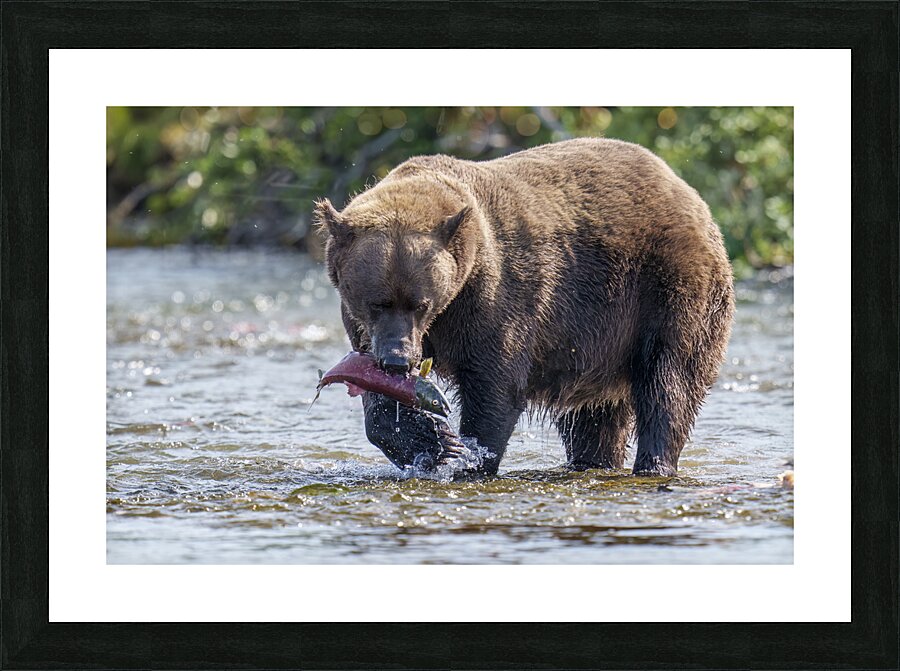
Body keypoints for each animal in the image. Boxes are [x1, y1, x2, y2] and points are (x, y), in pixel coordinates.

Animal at [314, 137, 734, 477]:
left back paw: (654, 464)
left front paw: (467, 455)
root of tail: (689, 193)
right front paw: (432, 443)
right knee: (594, 418)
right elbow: (378, 394)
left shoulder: (497, 299)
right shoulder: (365, 329)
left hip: (667, 291)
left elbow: (495, 385)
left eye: (420, 303)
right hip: (598, 339)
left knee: (669, 383)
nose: (398, 360)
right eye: (376, 302)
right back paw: (592, 462)